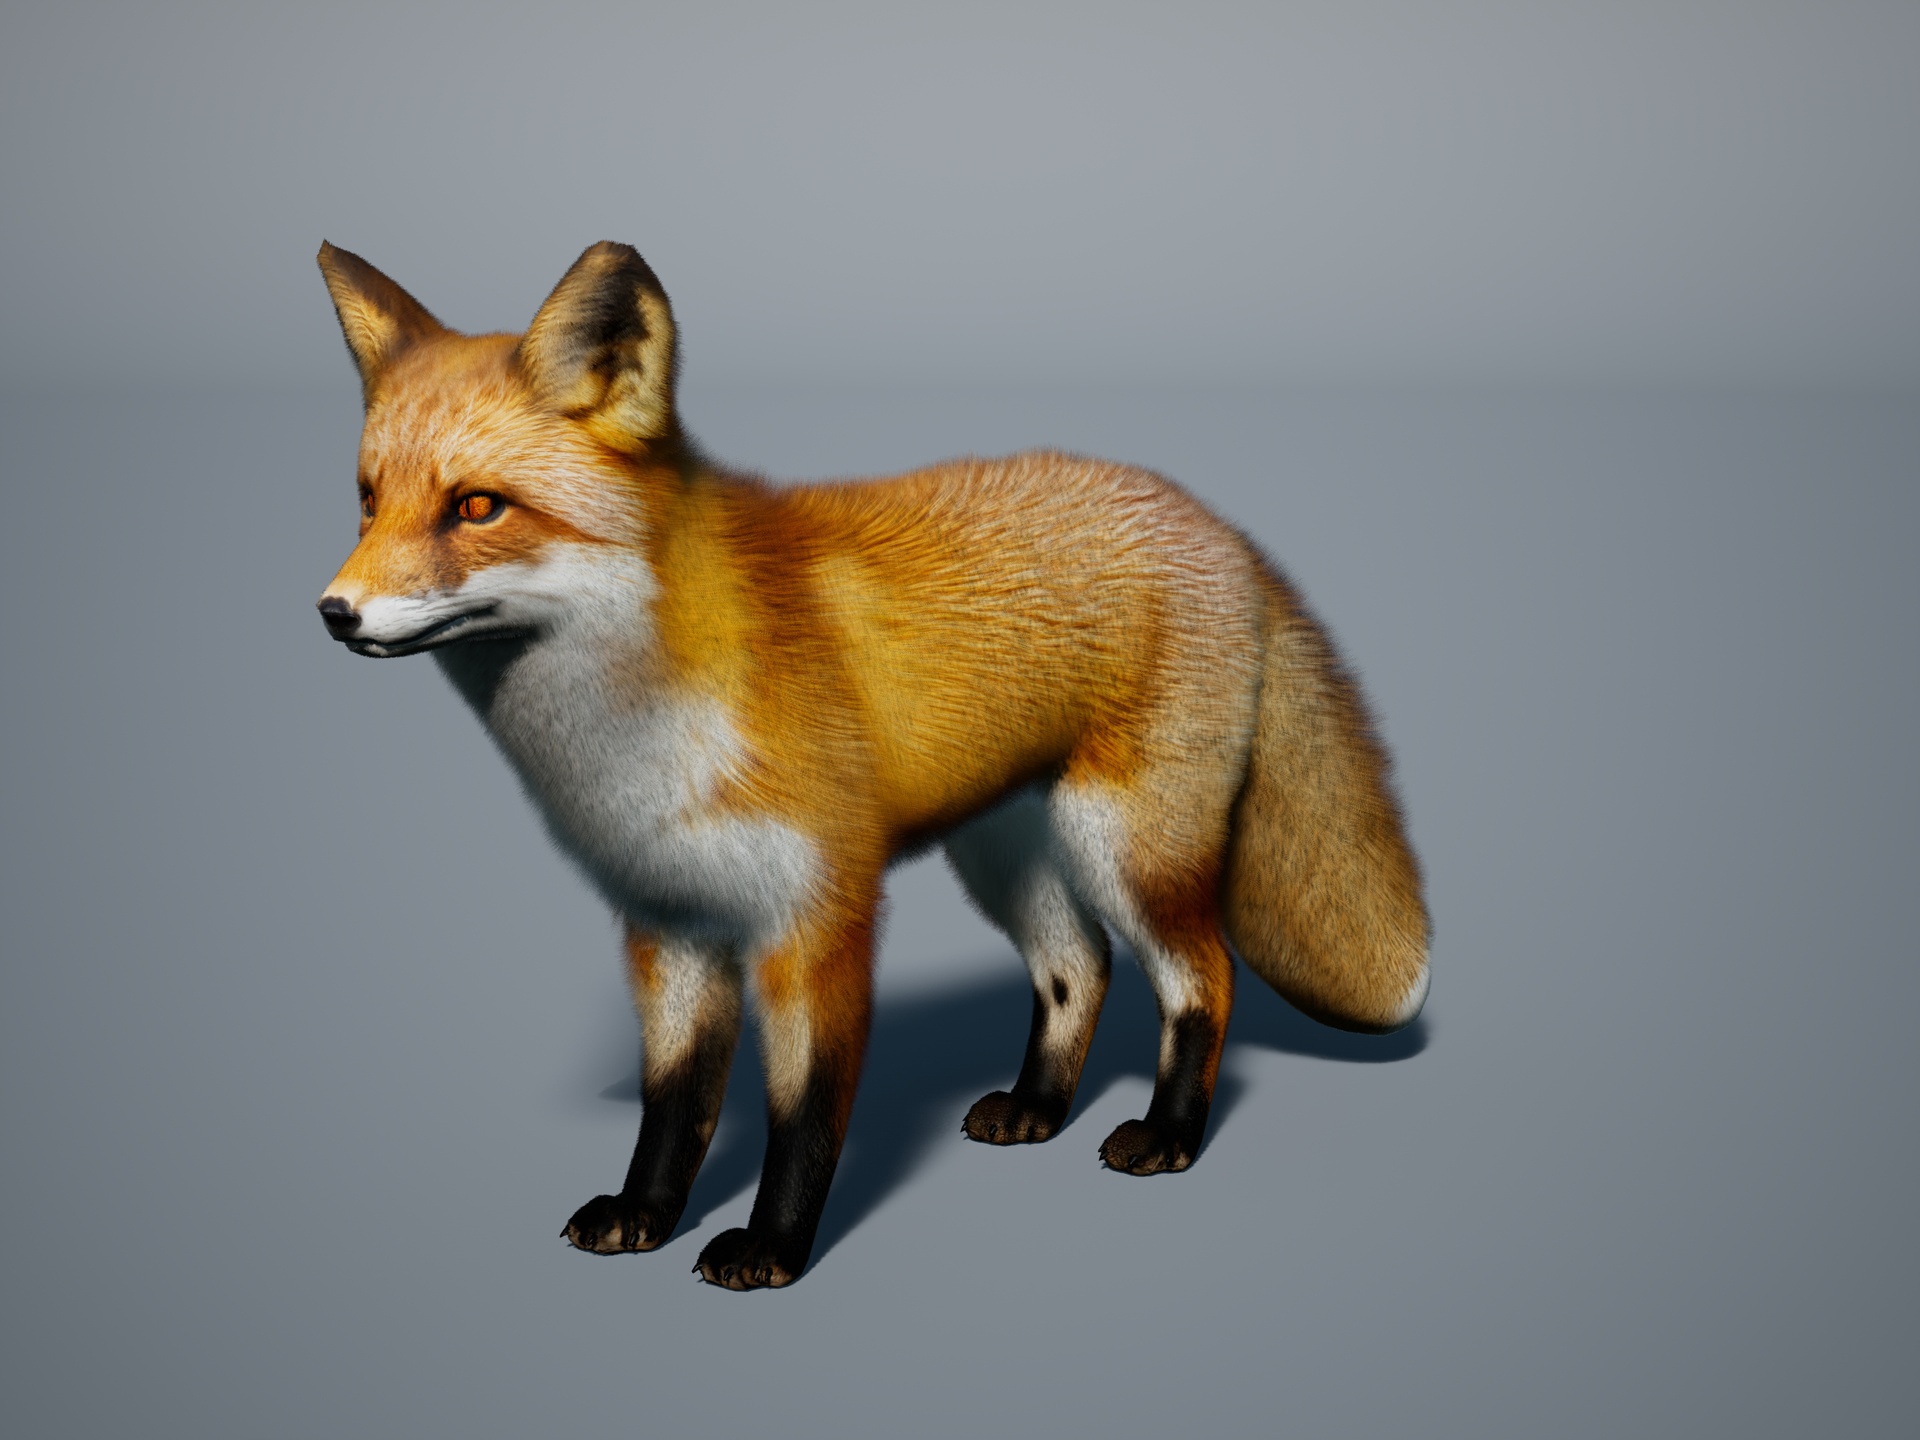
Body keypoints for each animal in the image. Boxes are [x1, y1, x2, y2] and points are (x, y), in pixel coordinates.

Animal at [314, 240, 1429, 1290]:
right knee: (1080, 967)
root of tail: (1217, 525)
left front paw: (771, 1248)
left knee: (1204, 976)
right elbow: (674, 1103)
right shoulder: (669, 920)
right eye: (367, 503)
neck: (638, 738)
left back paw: (1168, 1136)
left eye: (476, 509)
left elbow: (805, 1111)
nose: (333, 612)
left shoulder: (817, 915)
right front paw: (643, 1213)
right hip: (1005, 854)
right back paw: (1036, 1108)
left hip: (1126, 846)